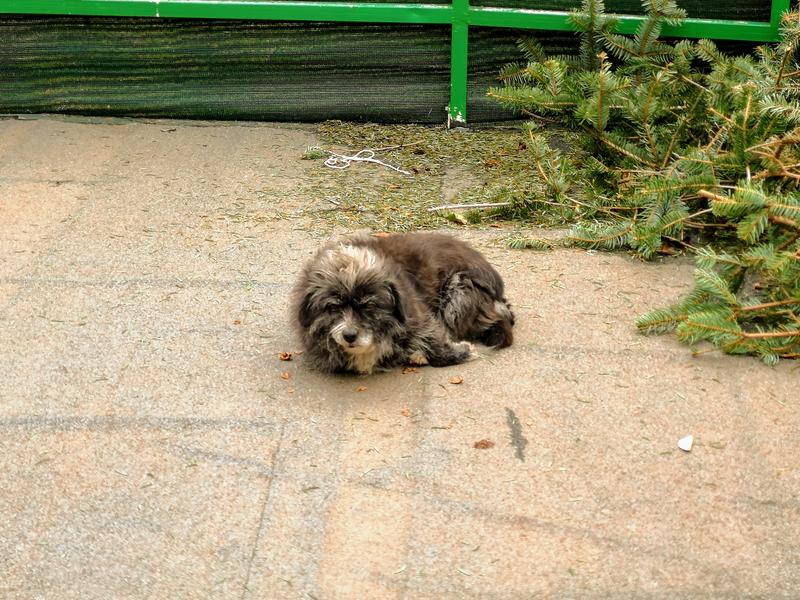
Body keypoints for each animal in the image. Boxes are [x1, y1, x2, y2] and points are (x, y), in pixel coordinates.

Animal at [290, 231, 516, 376]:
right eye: (333, 307)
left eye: (369, 306)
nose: (349, 336)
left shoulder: (422, 319)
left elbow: (436, 344)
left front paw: (462, 353)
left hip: (456, 294)